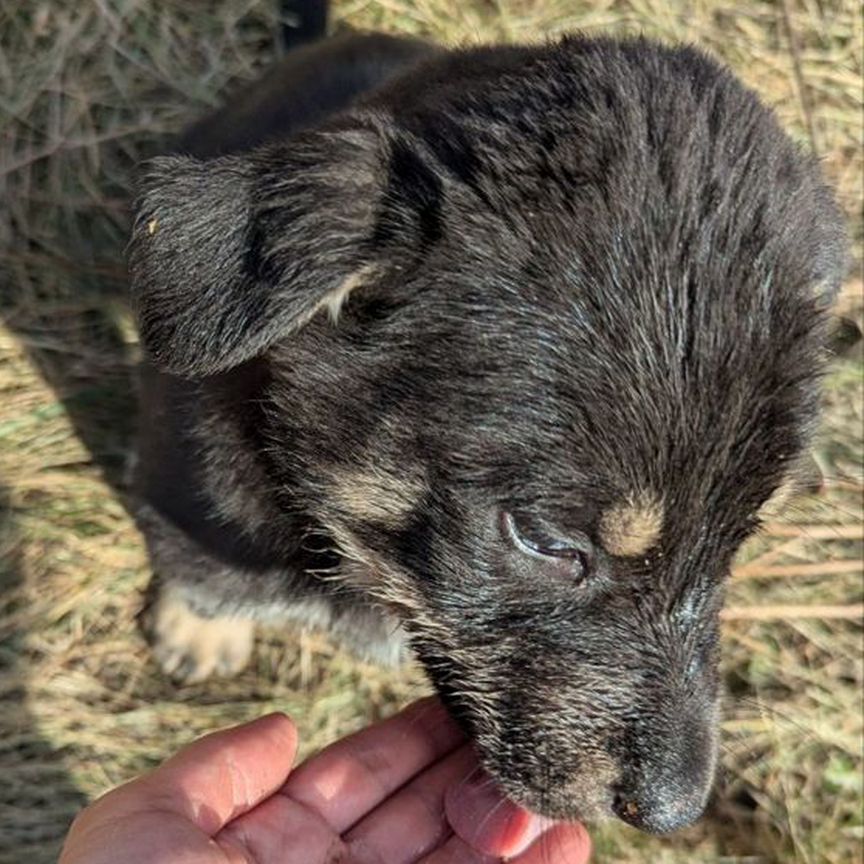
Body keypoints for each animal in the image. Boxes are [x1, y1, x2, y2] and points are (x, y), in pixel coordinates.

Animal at [126, 3, 844, 832]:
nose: (674, 812)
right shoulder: (190, 494)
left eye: (737, 540)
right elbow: (201, 565)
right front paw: (199, 630)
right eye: (544, 540)